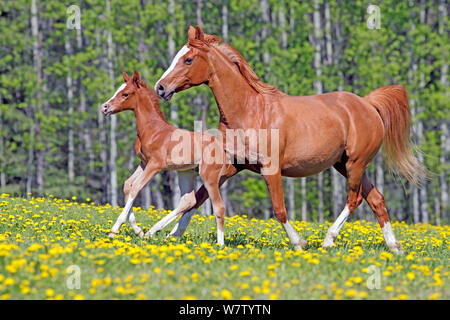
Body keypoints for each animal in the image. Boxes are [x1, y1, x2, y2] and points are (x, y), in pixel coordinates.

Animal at [100, 70, 230, 245]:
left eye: (125, 94)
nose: (105, 107)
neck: (153, 129)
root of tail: (222, 148)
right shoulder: (143, 163)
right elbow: (128, 185)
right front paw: (138, 231)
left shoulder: (155, 165)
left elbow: (136, 187)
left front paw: (114, 230)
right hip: (186, 173)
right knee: (188, 200)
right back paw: (153, 231)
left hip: (209, 175)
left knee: (219, 207)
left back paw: (220, 245)